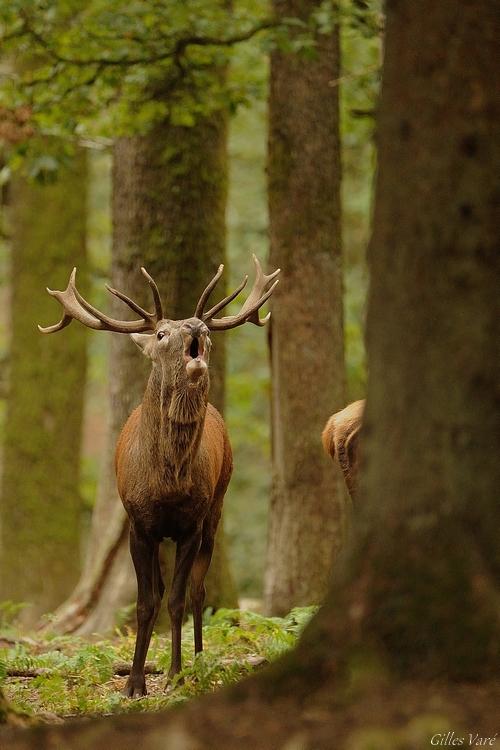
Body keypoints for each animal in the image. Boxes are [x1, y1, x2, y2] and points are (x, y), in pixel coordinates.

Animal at [39, 255, 280, 698]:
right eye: (162, 333)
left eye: (203, 331)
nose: (196, 327)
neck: (168, 483)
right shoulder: (138, 523)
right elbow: (145, 602)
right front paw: (135, 683)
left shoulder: (190, 524)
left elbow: (177, 601)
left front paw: (175, 674)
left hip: (217, 506)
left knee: (199, 591)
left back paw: (199, 661)